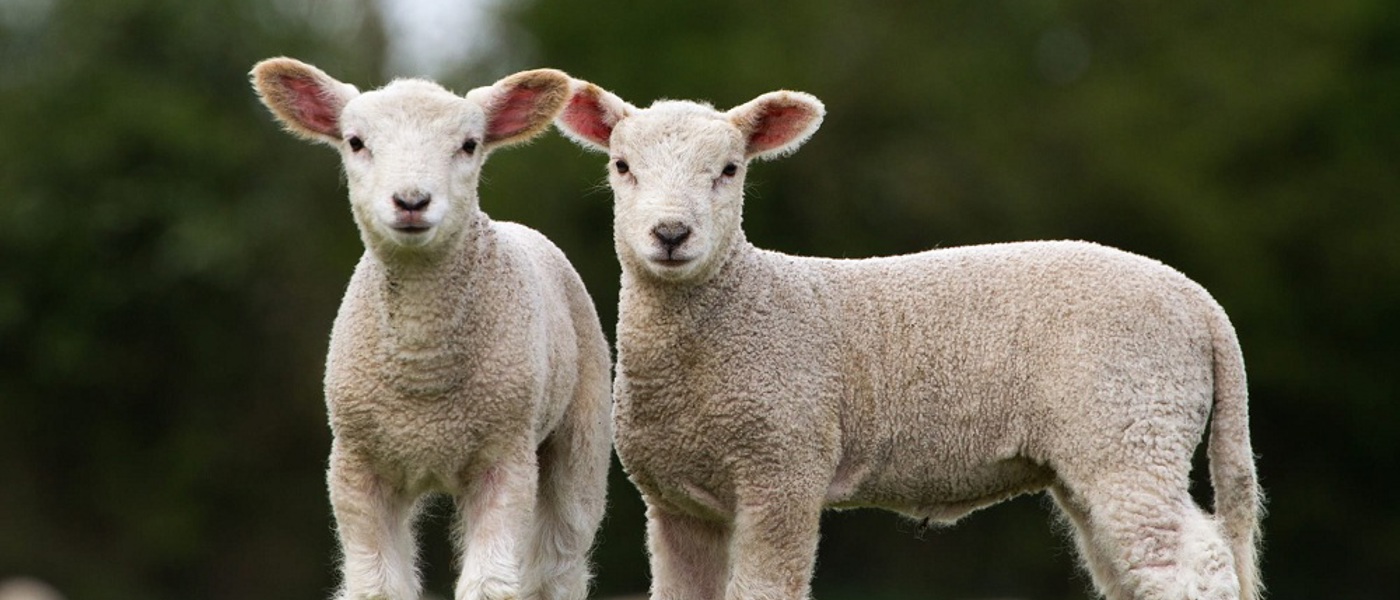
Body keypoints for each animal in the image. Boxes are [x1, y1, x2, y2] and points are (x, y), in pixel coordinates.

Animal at [250, 58, 612, 600]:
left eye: (469, 144)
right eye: (355, 141)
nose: (412, 201)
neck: (424, 374)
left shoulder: (505, 457)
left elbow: (490, 584)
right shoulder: (356, 465)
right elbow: (377, 587)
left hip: (581, 431)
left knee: (559, 560)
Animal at [556, 82, 1263, 600]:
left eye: (729, 170)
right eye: (621, 166)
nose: (671, 235)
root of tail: (1201, 305)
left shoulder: (784, 468)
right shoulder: (676, 501)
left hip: (1132, 420)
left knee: (1191, 564)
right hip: (1111, 440)